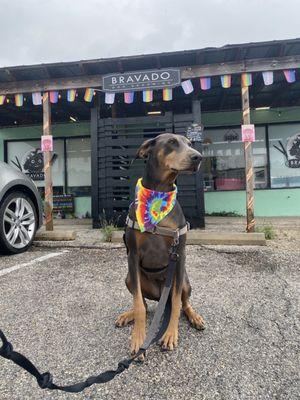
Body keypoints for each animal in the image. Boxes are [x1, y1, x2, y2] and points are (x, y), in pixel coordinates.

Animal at [116, 133, 205, 358]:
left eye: (190, 144)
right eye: (172, 142)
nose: (198, 157)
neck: (158, 194)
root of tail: (159, 296)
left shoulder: (179, 255)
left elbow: (176, 303)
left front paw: (170, 334)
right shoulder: (133, 254)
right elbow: (139, 305)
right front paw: (139, 340)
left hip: (184, 280)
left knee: (182, 302)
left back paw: (195, 317)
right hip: (130, 278)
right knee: (144, 303)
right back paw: (128, 315)